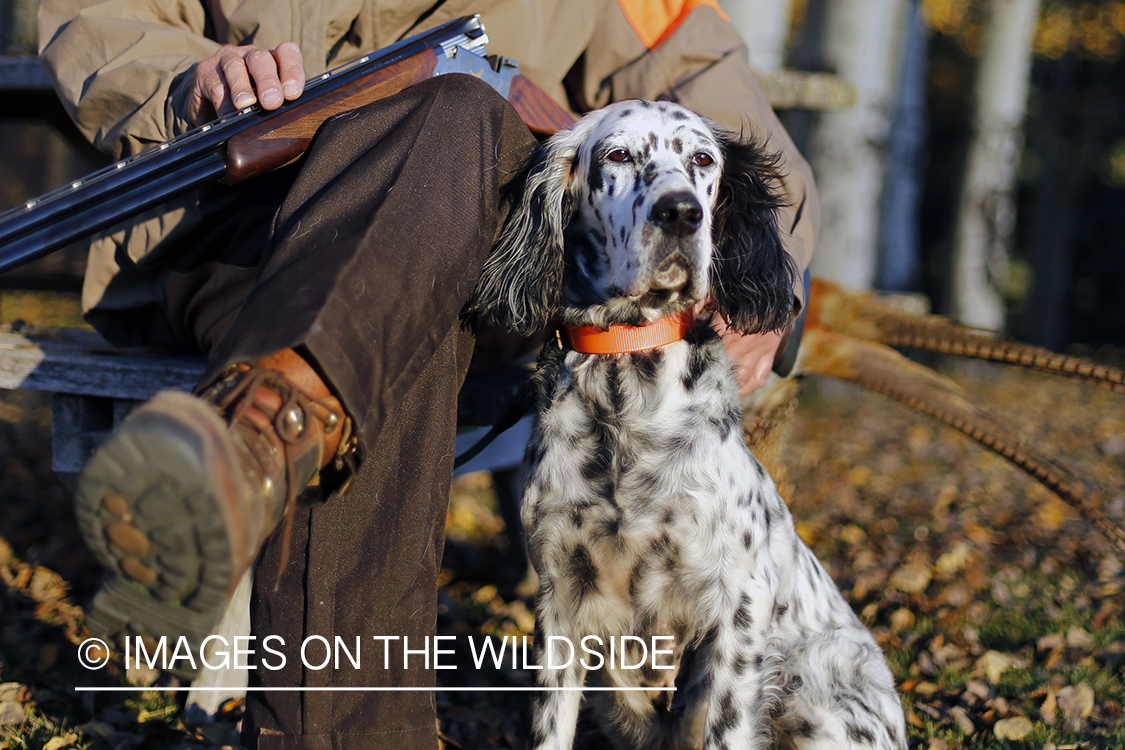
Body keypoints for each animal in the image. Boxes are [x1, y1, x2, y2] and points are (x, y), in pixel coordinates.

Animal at [461, 101, 909, 750]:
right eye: (618, 154)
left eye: (703, 159)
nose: (680, 212)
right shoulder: (560, 598)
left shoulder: (738, 609)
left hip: (812, 690)